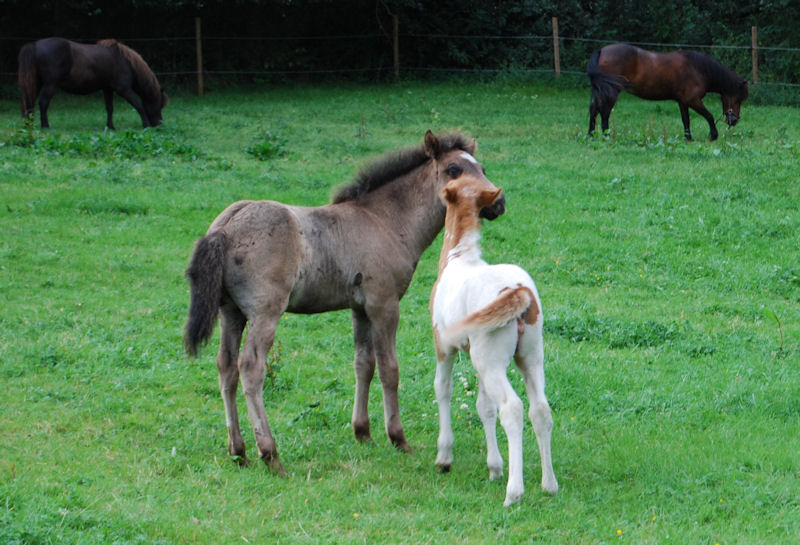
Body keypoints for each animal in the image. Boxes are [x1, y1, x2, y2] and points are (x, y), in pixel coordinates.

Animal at [17, 37, 167, 130]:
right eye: (159, 104)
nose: (159, 124)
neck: (124, 61)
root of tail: (35, 45)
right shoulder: (123, 89)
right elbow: (138, 105)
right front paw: (146, 124)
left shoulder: (107, 89)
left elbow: (110, 108)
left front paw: (110, 126)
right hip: (51, 85)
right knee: (43, 103)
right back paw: (45, 126)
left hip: (37, 84)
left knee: (30, 104)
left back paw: (29, 126)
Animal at [184, 131, 504, 472]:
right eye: (454, 170)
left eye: (481, 168)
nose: (498, 203)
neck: (386, 221)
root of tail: (226, 226)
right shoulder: (384, 304)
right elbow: (389, 368)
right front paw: (398, 438)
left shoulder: (359, 308)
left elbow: (363, 364)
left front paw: (363, 432)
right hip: (265, 313)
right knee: (251, 367)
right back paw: (270, 454)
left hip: (230, 312)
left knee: (226, 366)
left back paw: (239, 451)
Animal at [432, 174, 556, 506]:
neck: (458, 255)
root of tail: (518, 291)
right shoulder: (475, 357)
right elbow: (483, 405)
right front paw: (494, 467)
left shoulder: (444, 345)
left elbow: (443, 389)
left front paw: (444, 457)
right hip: (529, 355)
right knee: (540, 409)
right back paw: (549, 484)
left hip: (491, 359)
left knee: (512, 408)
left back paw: (514, 492)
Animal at [588, 42, 752, 140]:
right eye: (738, 99)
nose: (734, 121)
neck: (698, 69)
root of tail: (602, 50)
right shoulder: (693, 100)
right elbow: (709, 116)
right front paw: (713, 135)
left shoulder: (683, 102)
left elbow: (686, 120)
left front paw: (688, 138)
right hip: (612, 92)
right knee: (604, 112)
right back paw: (606, 135)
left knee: (594, 110)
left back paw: (591, 135)